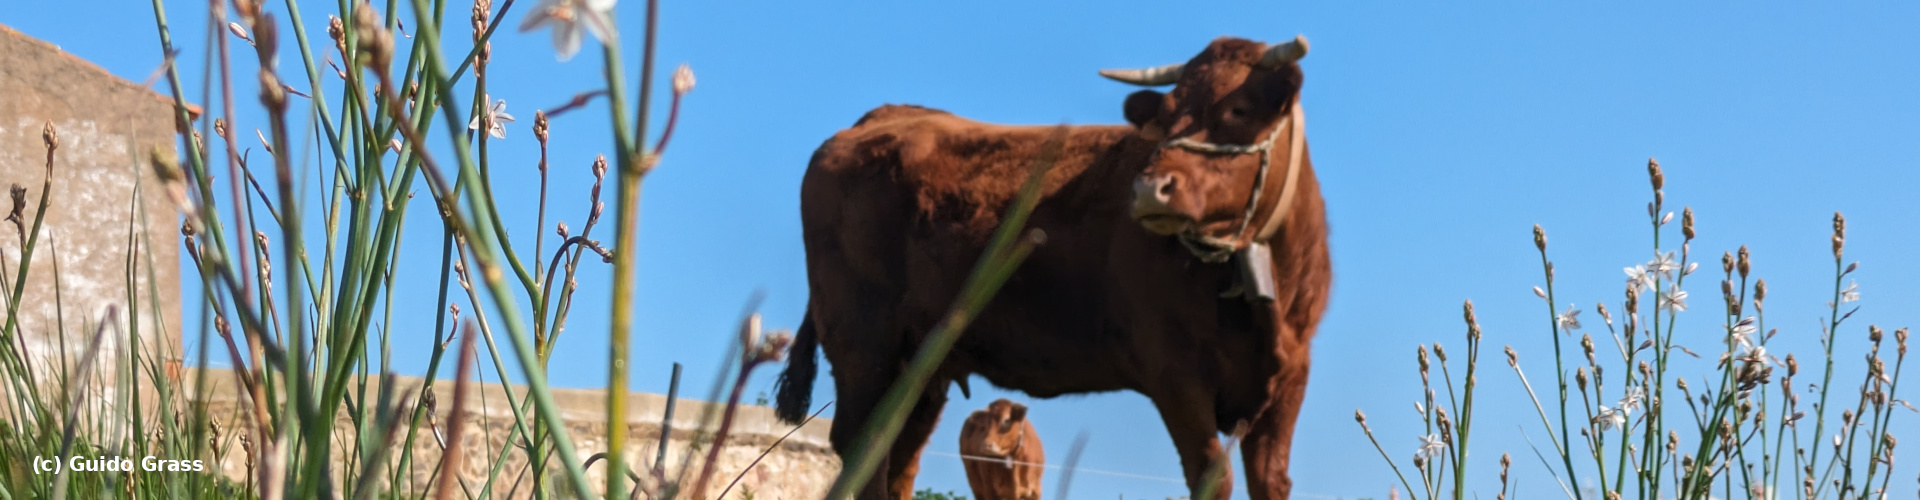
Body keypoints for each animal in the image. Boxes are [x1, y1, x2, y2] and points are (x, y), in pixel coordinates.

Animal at [771, 36, 1328, 500]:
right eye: (1166, 117)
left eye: (1237, 108)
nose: (1150, 189)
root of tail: (880, 117)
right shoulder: (1175, 372)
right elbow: (1211, 475)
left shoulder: (1292, 376)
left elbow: (1272, 482)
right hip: (863, 342)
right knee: (864, 448)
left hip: (923, 365)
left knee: (900, 456)